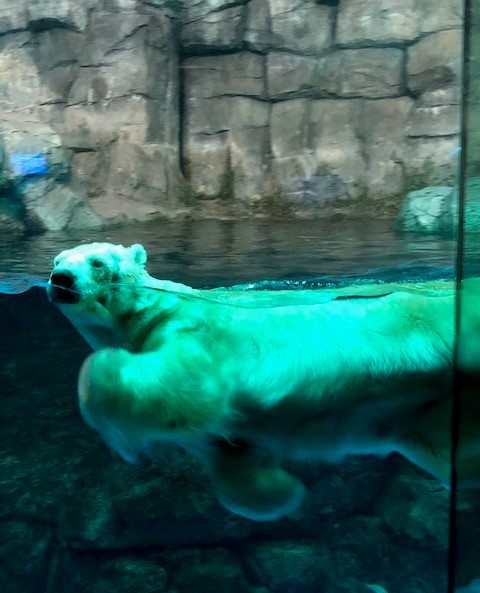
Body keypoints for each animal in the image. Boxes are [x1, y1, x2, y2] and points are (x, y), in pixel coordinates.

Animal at [46, 240, 480, 520]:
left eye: (97, 262)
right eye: (57, 258)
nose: (60, 278)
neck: (156, 308)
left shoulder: (196, 332)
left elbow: (184, 386)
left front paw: (122, 430)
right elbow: (233, 459)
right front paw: (279, 493)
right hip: (432, 411)